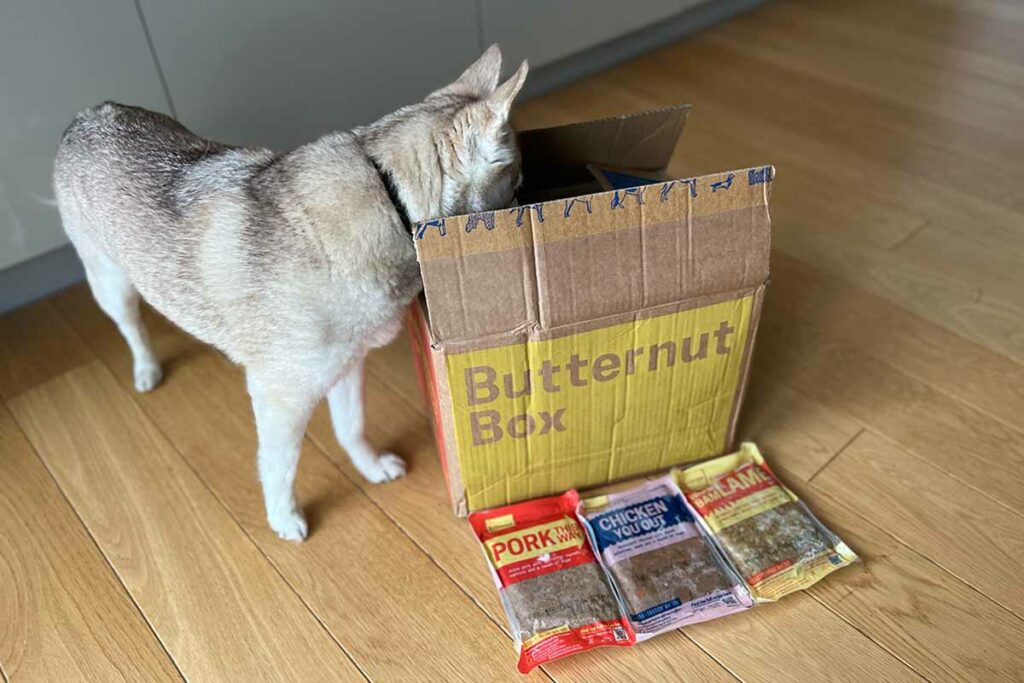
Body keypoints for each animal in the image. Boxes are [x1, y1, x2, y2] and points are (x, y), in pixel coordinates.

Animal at [54, 45, 528, 540]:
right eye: (514, 182)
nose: (532, 200)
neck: (389, 197)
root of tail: (89, 114)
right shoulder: (280, 398)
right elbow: (279, 466)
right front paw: (283, 517)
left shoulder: (347, 366)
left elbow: (350, 427)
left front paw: (370, 466)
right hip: (110, 284)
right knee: (132, 328)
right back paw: (146, 369)